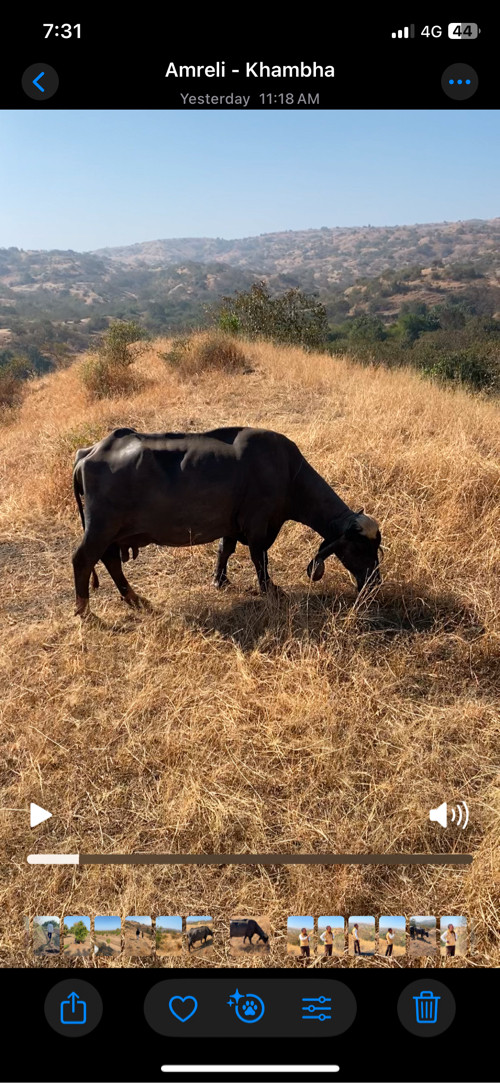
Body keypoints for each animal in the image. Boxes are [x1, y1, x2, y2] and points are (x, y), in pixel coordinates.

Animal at [72, 424, 380, 615]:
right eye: (360, 549)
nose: (374, 583)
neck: (287, 471)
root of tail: (90, 452)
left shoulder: (232, 524)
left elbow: (225, 550)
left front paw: (219, 580)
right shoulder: (258, 524)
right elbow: (260, 558)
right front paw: (270, 589)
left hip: (111, 533)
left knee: (110, 561)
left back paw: (135, 599)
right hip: (101, 528)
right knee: (83, 560)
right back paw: (84, 610)